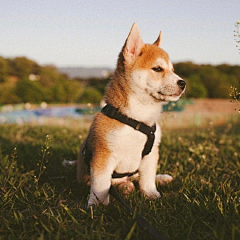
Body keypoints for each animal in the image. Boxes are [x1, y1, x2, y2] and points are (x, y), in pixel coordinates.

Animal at [77, 23, 186, 206]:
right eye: (158, 69)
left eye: (172, 70)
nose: (183, 83)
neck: (136, 119)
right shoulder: (102, 157)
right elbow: (100, 184)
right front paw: (97, 205)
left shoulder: (150, 155)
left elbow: (147, 179)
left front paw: (151, 194)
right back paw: (125, 187)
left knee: (136, 176)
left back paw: (161, 178)